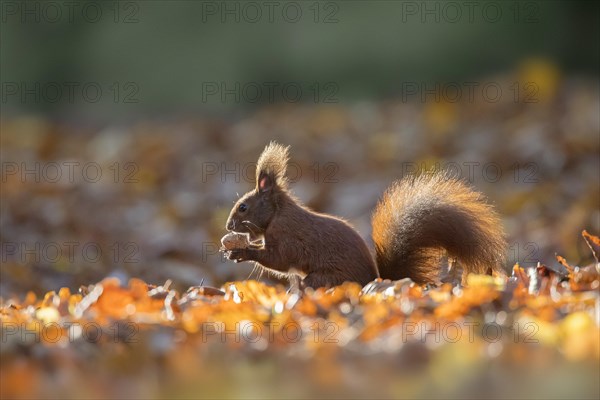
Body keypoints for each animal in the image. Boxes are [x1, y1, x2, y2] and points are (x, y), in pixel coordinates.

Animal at [224, 142, 506, 290]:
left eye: (243, 207)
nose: (228, 225)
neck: (278, 213)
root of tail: (375, 280)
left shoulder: (287, 236)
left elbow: (278, 260)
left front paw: (241, 252)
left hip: (323, 279)